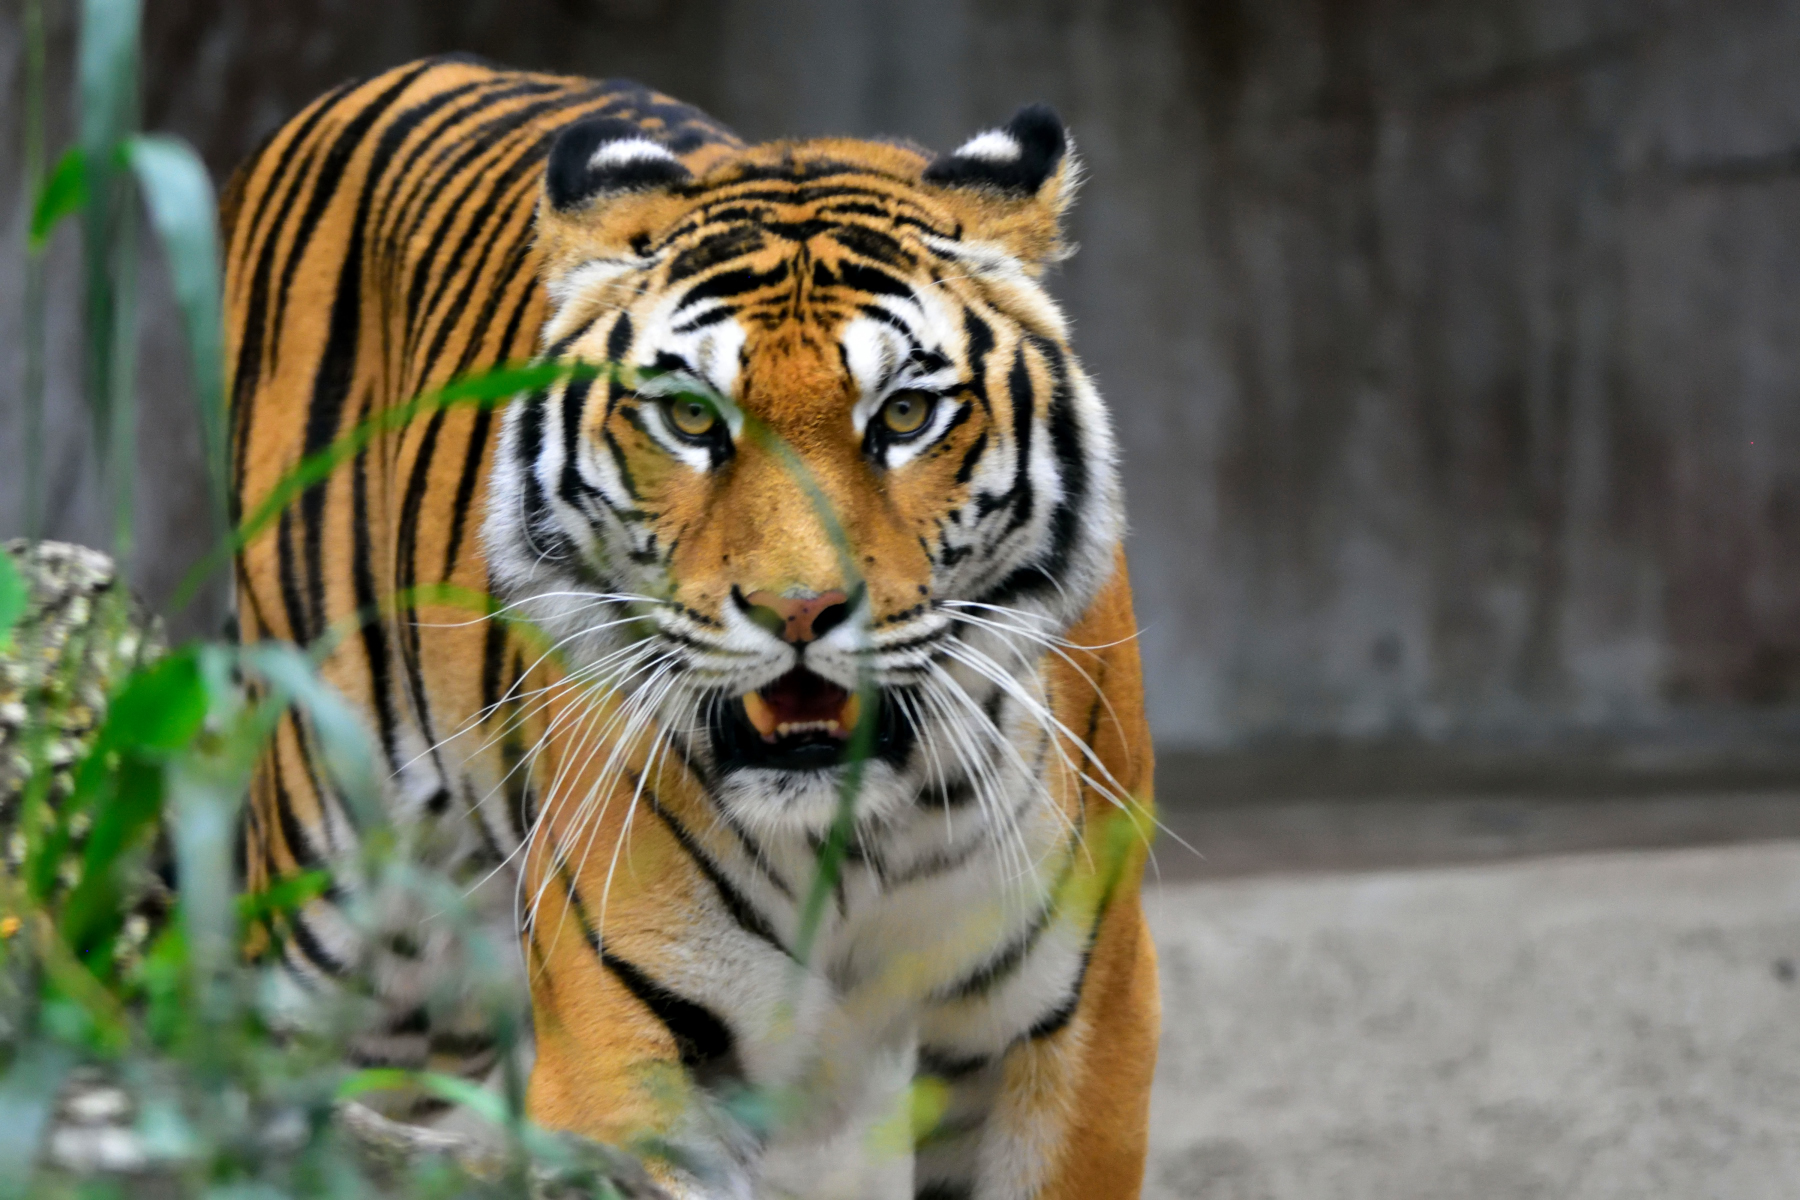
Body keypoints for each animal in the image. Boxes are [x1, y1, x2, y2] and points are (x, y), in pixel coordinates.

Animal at [225, 55, 1158, 1200]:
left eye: (903, 415)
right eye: (692, 418)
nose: (798, 609)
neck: (860, 833)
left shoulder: (1076, 1020)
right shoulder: (627, 1055)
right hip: (345, 916)